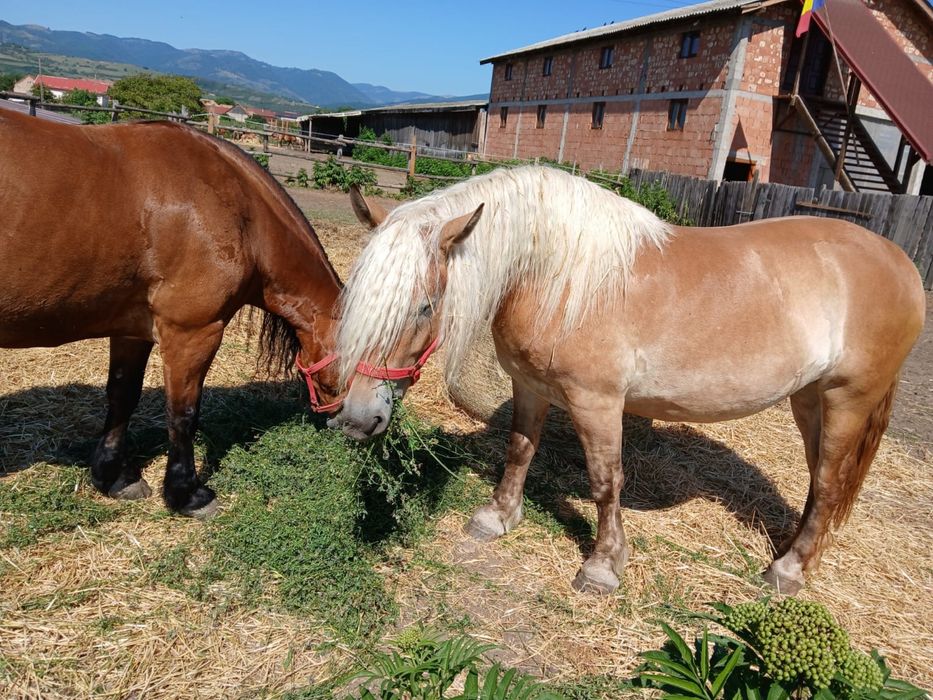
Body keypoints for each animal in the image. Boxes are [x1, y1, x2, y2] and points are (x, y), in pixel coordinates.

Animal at [0, 106, 344, 518]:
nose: (372, 423)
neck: (240, 212)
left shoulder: (132, 329)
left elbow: (122, 395)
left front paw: (115, 477)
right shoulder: (192, 333)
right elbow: (183, 414)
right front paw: (187, 494)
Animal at [326, 165, 925, 595]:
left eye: (425, 306)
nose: (357, 419)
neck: (556, 276)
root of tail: (900, 262)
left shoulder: (597, 402)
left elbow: (605, 482)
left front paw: (602, 567)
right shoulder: (530, 387)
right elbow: (520, 449)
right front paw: (498, 517)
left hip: (849, 399)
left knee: (829, 483)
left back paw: (788, 571)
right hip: (809, 399)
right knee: (821, 481)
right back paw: (794, 552)